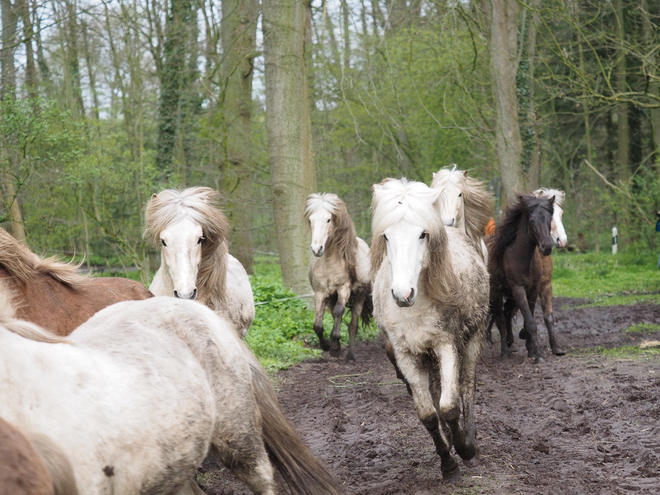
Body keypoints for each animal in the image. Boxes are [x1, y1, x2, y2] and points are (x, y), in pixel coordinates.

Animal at [304, 195, 372, 364]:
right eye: (311, 220)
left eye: (328, 219)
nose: (317, 249)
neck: (329, 262)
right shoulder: (321, 293)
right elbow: (317, 324)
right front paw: (326, 345)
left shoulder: (344, 288)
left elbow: (340, 311)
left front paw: (335, 347)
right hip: (331, 297)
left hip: (359, 297)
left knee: (353, 325)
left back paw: (350, 356)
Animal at [488, 195, 556, 364]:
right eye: (532, 220)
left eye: (550, 219)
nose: (547, 246)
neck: (521, 258)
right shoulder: (518, 288)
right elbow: (531, 322)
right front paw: (538, 355)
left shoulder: (533, 289)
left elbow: (528, 319)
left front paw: (532, 351)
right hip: (496, 292)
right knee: (500, 319)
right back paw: (505, 352)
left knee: (506, 314)